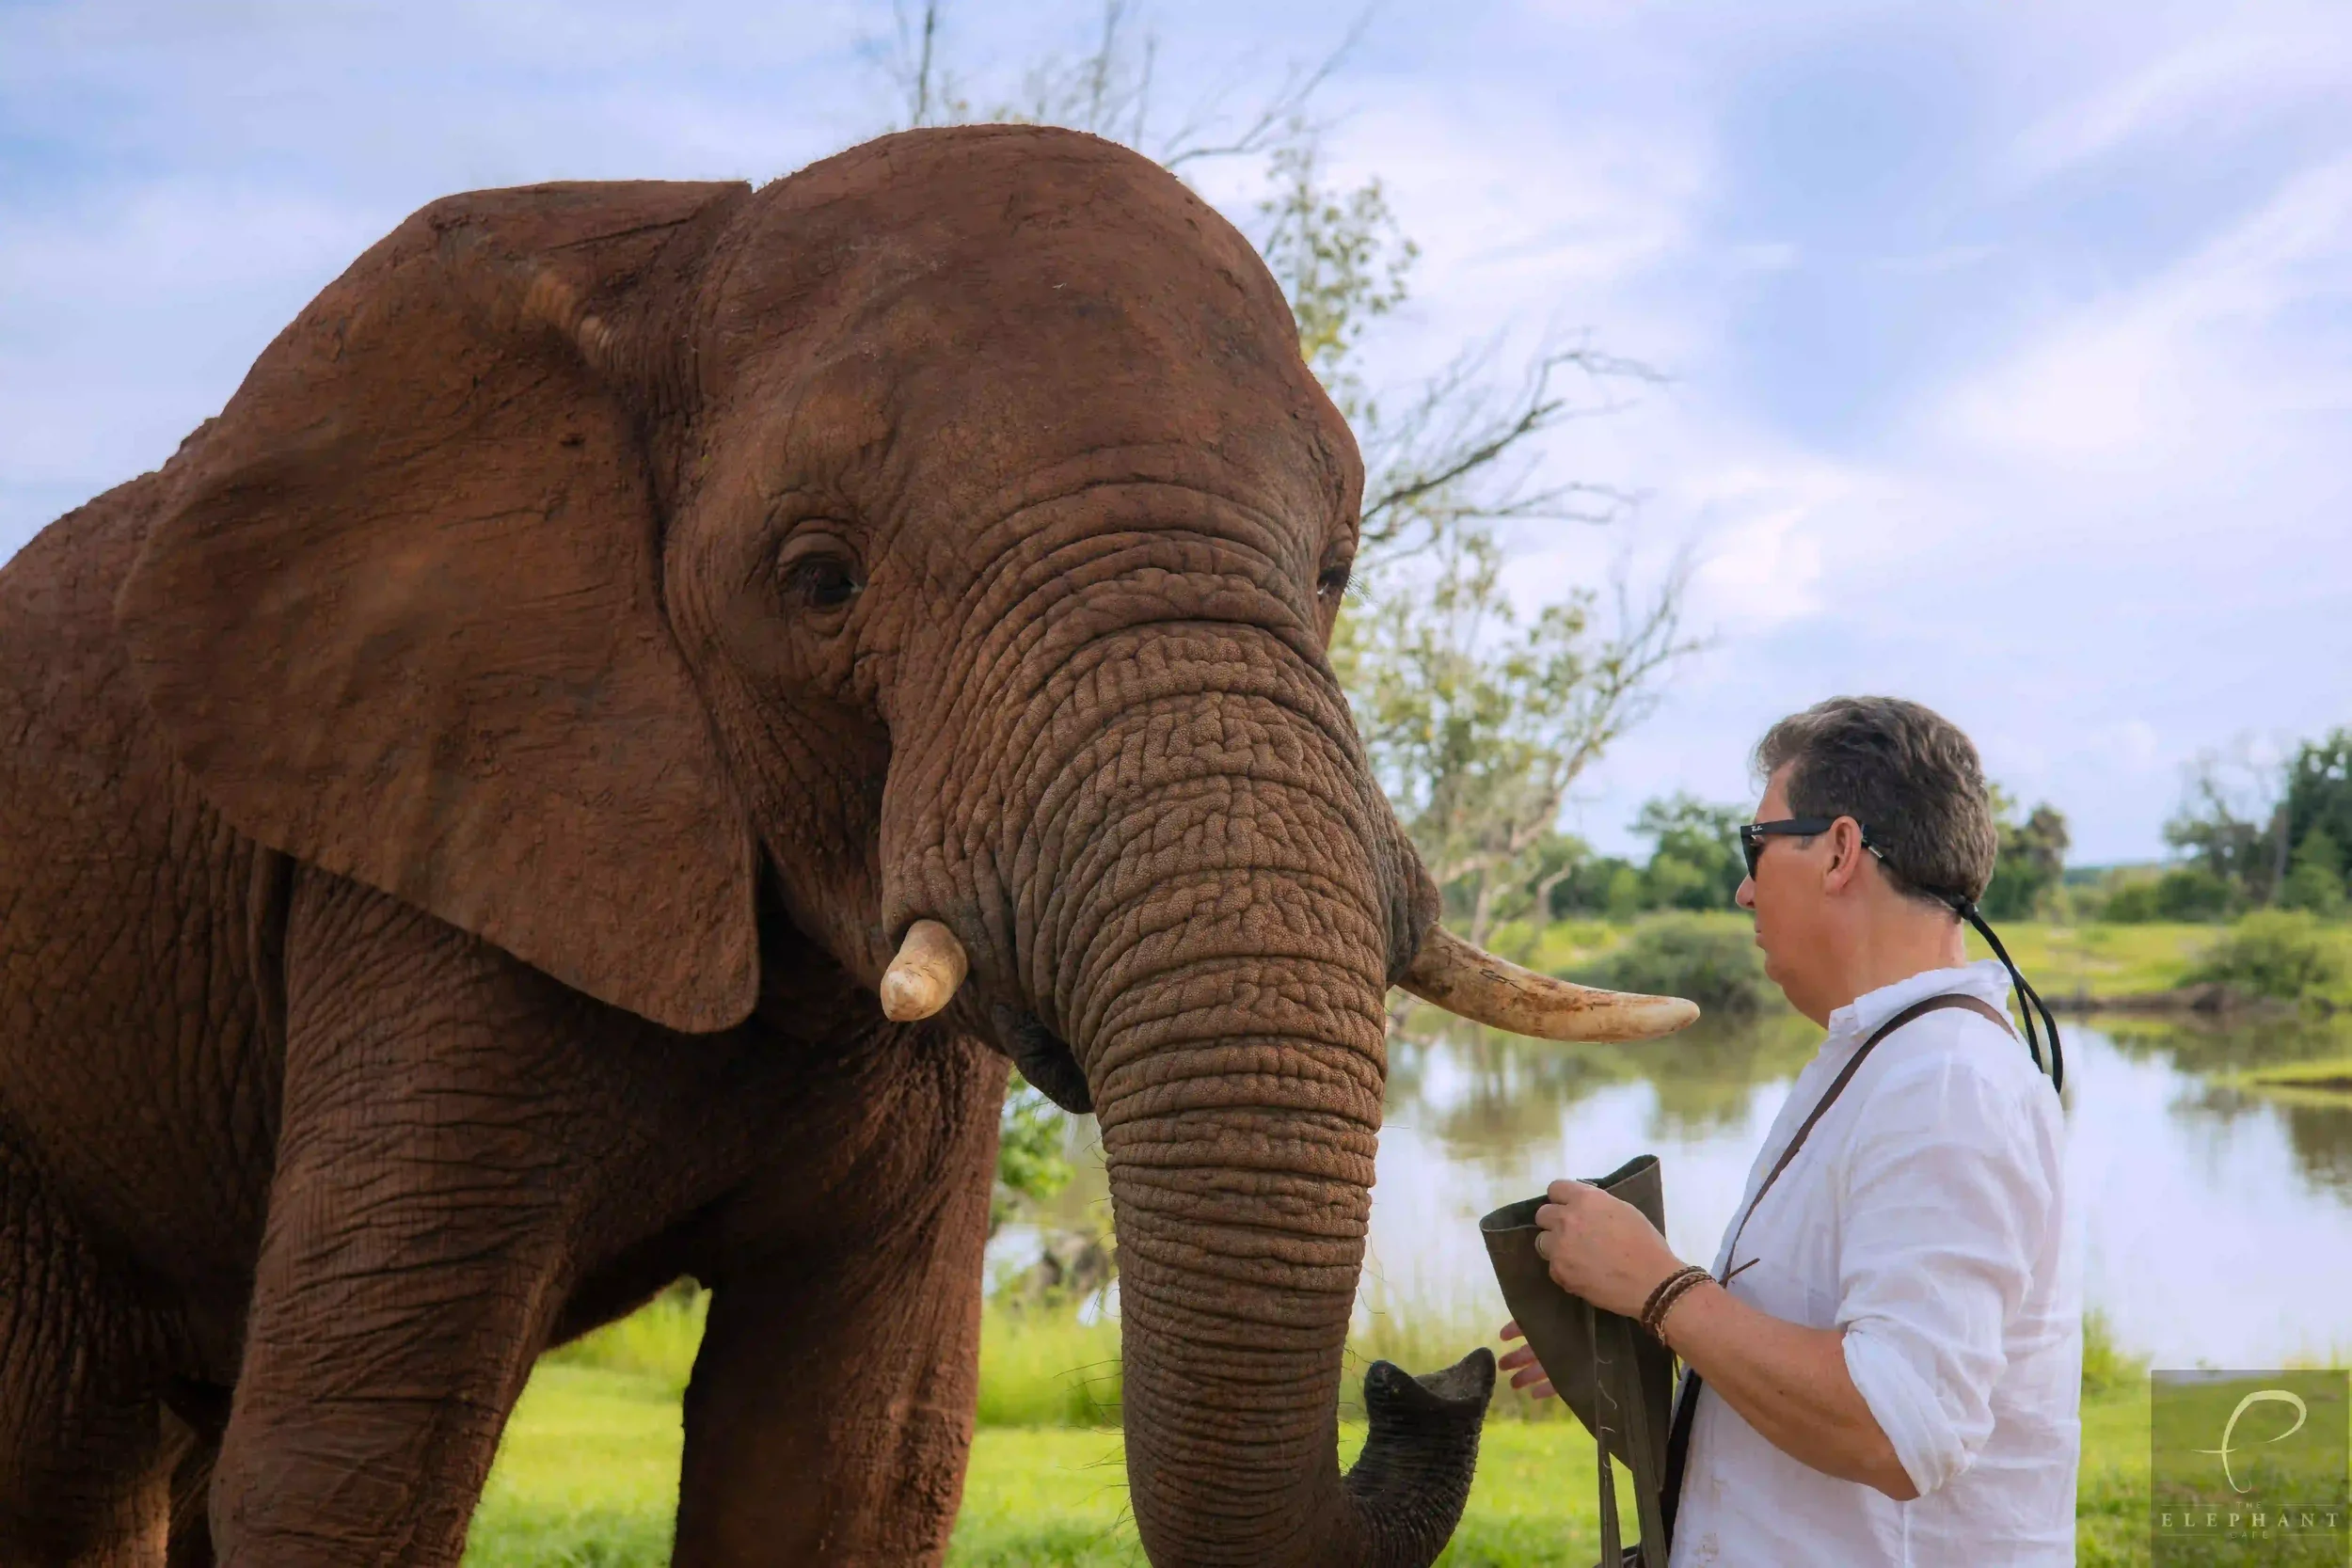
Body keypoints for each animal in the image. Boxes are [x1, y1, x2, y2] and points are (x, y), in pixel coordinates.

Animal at [0, 124, 1695, 1567]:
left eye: (1336, 566)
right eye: (820, 581)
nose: (1433, 1372)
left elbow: (845, 1461)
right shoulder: (422, 853)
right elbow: (355, 1463)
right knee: (71, 1465)